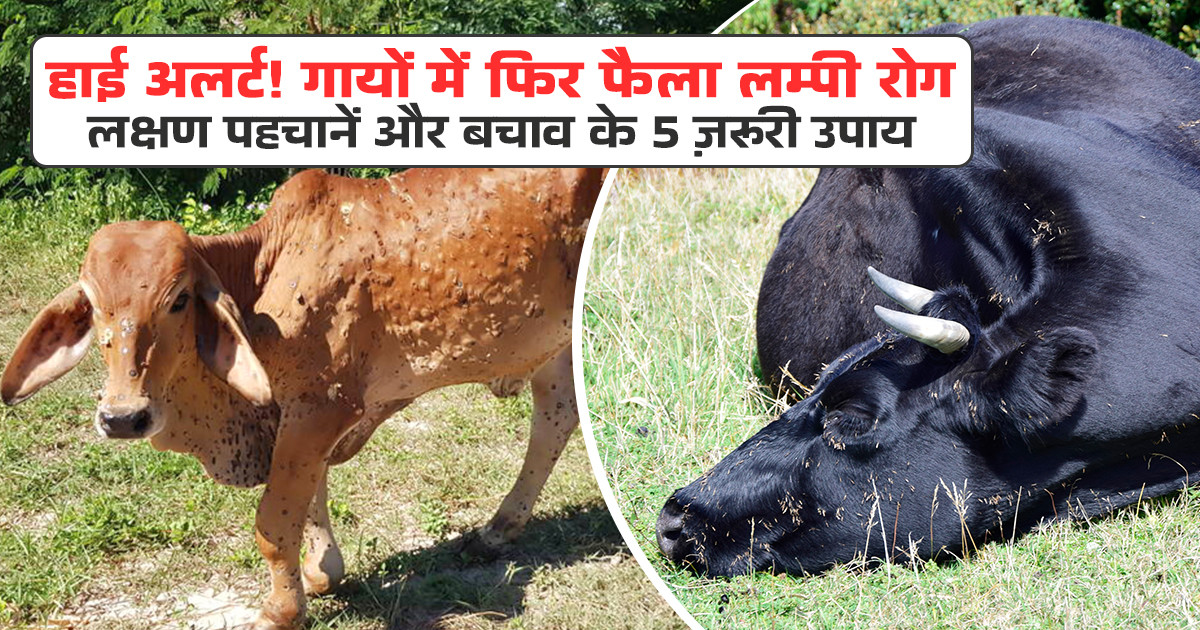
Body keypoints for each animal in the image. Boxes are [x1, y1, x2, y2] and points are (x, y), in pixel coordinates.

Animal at [1, 167, 604, 629]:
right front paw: (321, 573)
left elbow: (274, 522)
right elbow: (307, 496)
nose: (123, 417)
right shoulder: (296, 416)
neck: (262, 273)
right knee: (557, 417)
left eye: (178, 301)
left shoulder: (320, 410)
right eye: (93, 304)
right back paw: (498, 530)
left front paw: (282, 609)